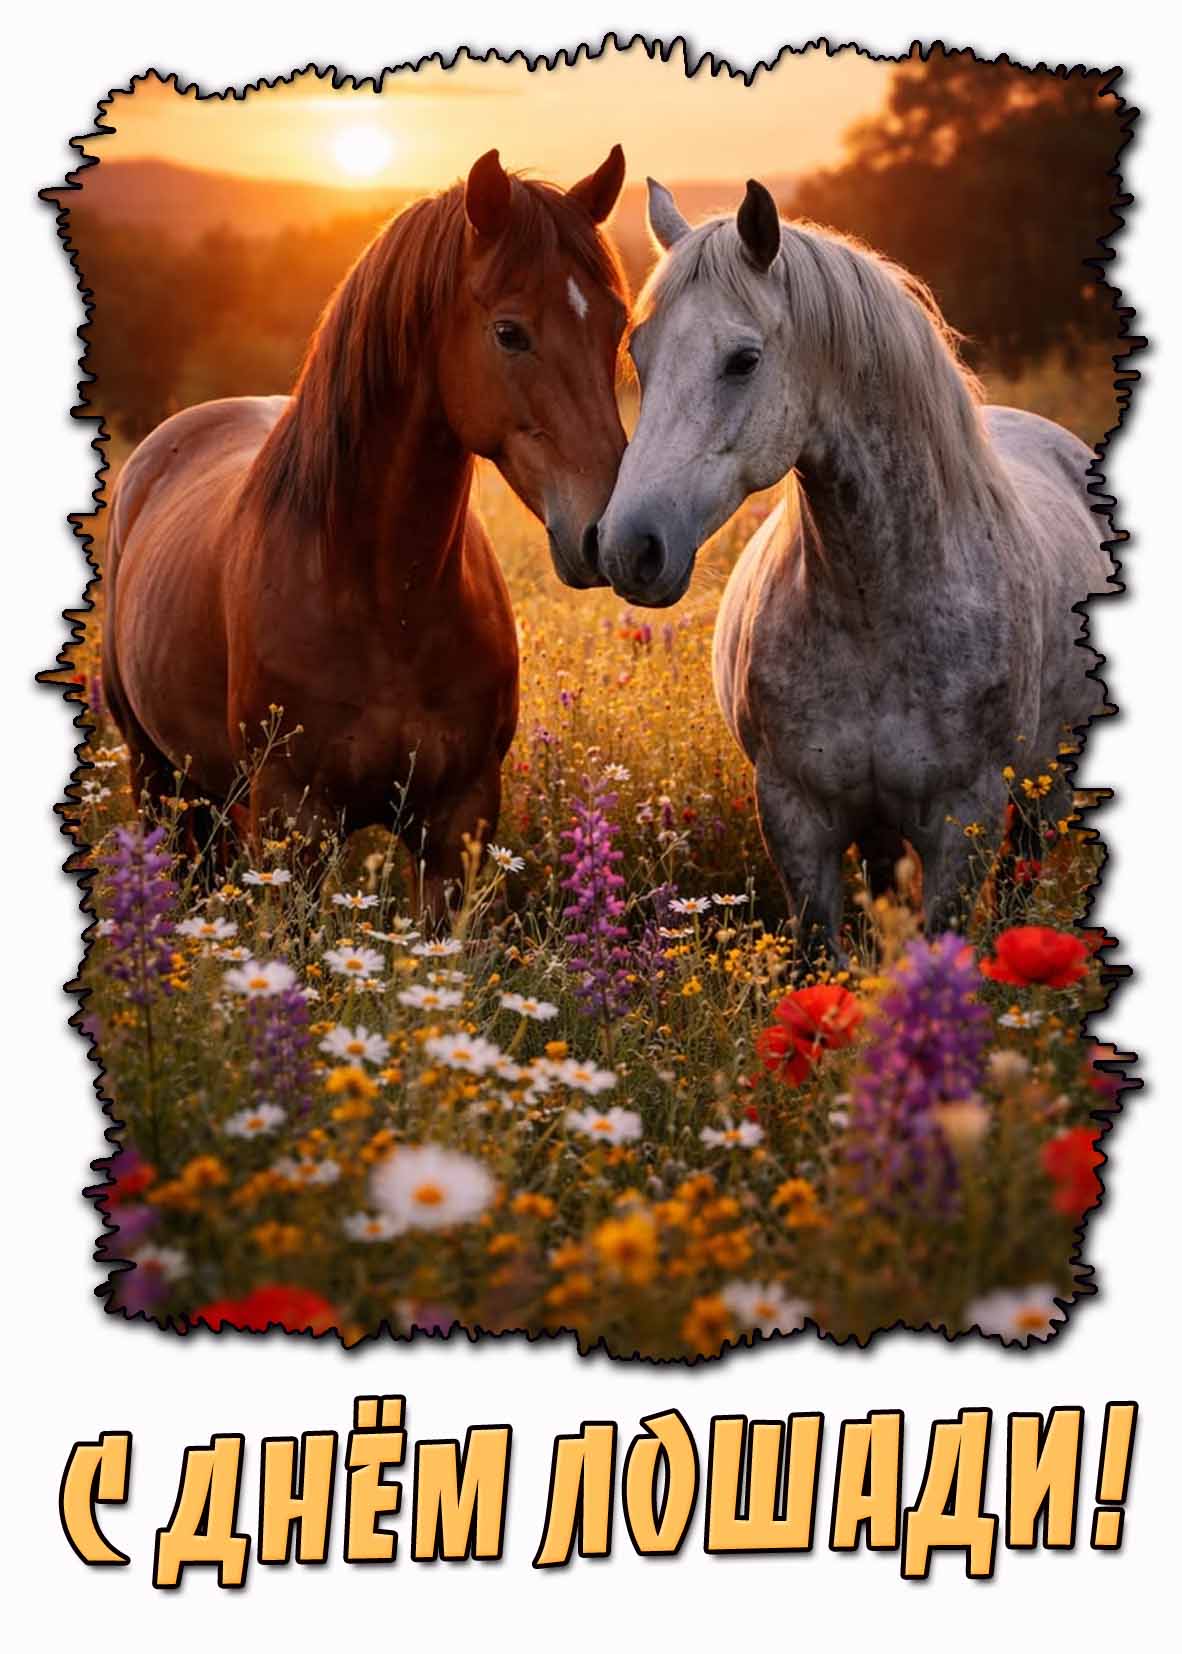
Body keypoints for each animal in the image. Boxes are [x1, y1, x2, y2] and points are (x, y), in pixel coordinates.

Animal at [103, 146, 628, 915]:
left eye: (617, 324)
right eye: (510, 332)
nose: (613, 533)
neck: (385, 601)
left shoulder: (457, 821)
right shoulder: (297, 821)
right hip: (154, 773)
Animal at [595, 177, 1114, 957]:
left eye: (743, 360)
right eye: (640, 354)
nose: (629, 547)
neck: (873, 604)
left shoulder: (965, 822)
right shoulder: (797, 819)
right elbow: (823, 954)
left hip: (1041, 792)